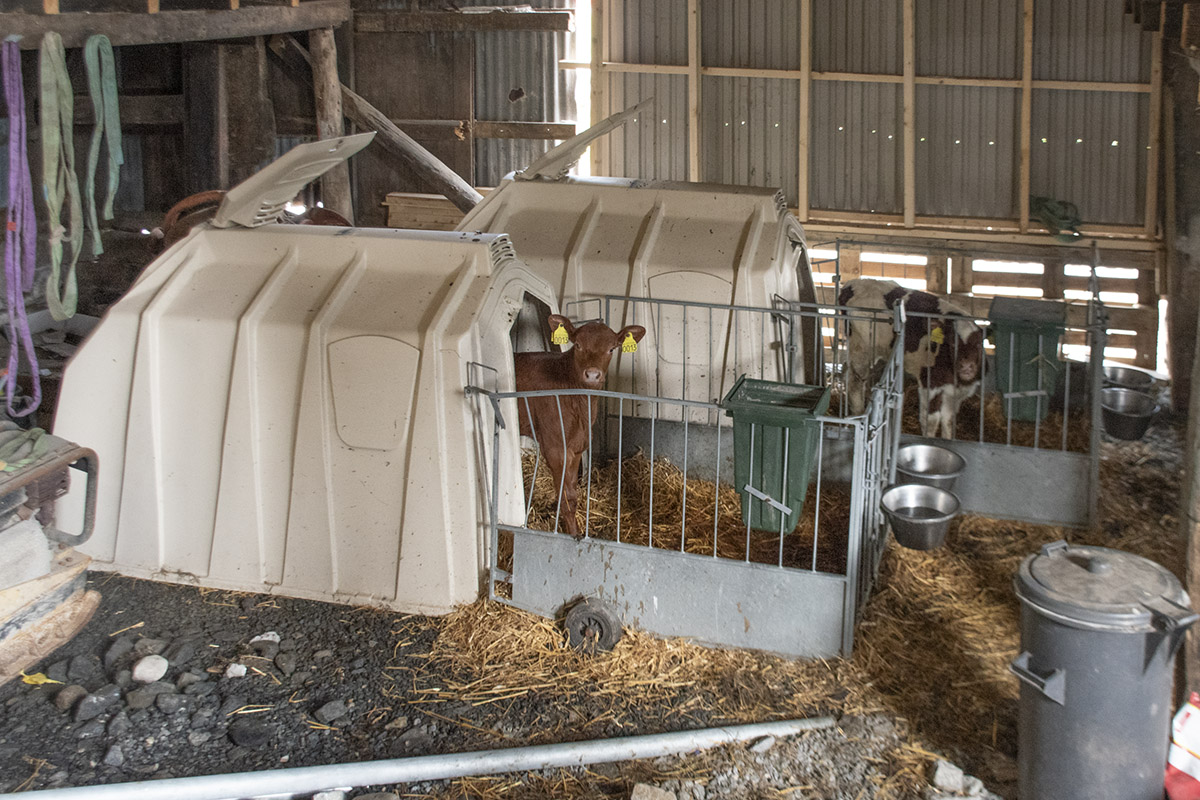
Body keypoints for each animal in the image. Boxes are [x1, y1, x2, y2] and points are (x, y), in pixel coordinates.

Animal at [514, 314, 647, 538]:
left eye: (612, 348)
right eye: (577, 345)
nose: (592, 375)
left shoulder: (576, 447)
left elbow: (573, 496)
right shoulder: (555, 447)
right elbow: (566, 498)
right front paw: (572, 534)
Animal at [838, 278, 984, 438]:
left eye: (978, 344)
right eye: (952, 343)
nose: (966, 366)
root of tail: (852, 284)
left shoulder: (957, 392)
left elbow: (949, 421)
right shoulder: (929, 383)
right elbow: (930, 421)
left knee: (846, 370)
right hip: (862, 348)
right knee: (854, 380)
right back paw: (858, 415)